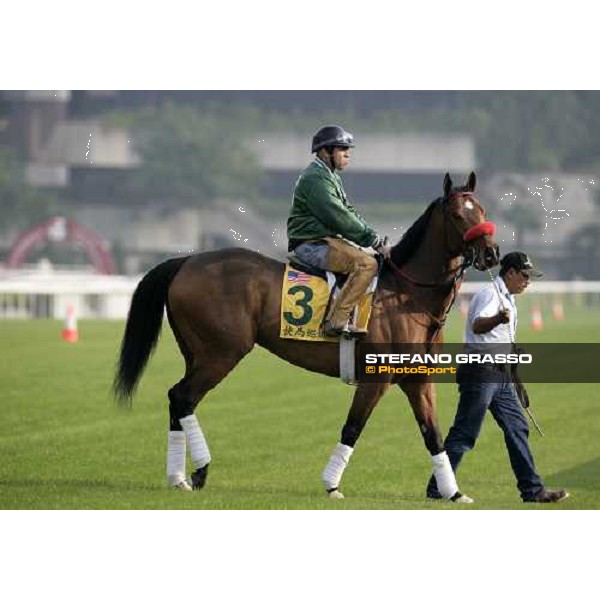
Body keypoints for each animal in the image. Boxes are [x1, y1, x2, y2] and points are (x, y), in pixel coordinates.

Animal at [115, 172, 500, 502]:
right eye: (457, 215)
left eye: (481, 210)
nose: (491, 253)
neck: (406, 294)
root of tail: (187, 260)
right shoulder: (374, 380)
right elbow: (352, 428)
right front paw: (331, 485)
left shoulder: (418, 380)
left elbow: (433, 434)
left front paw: (453, 492)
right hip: (221, 354)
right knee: (182, 397)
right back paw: (198, 471)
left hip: (198, 353)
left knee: (179, 400)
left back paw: (179, 477)